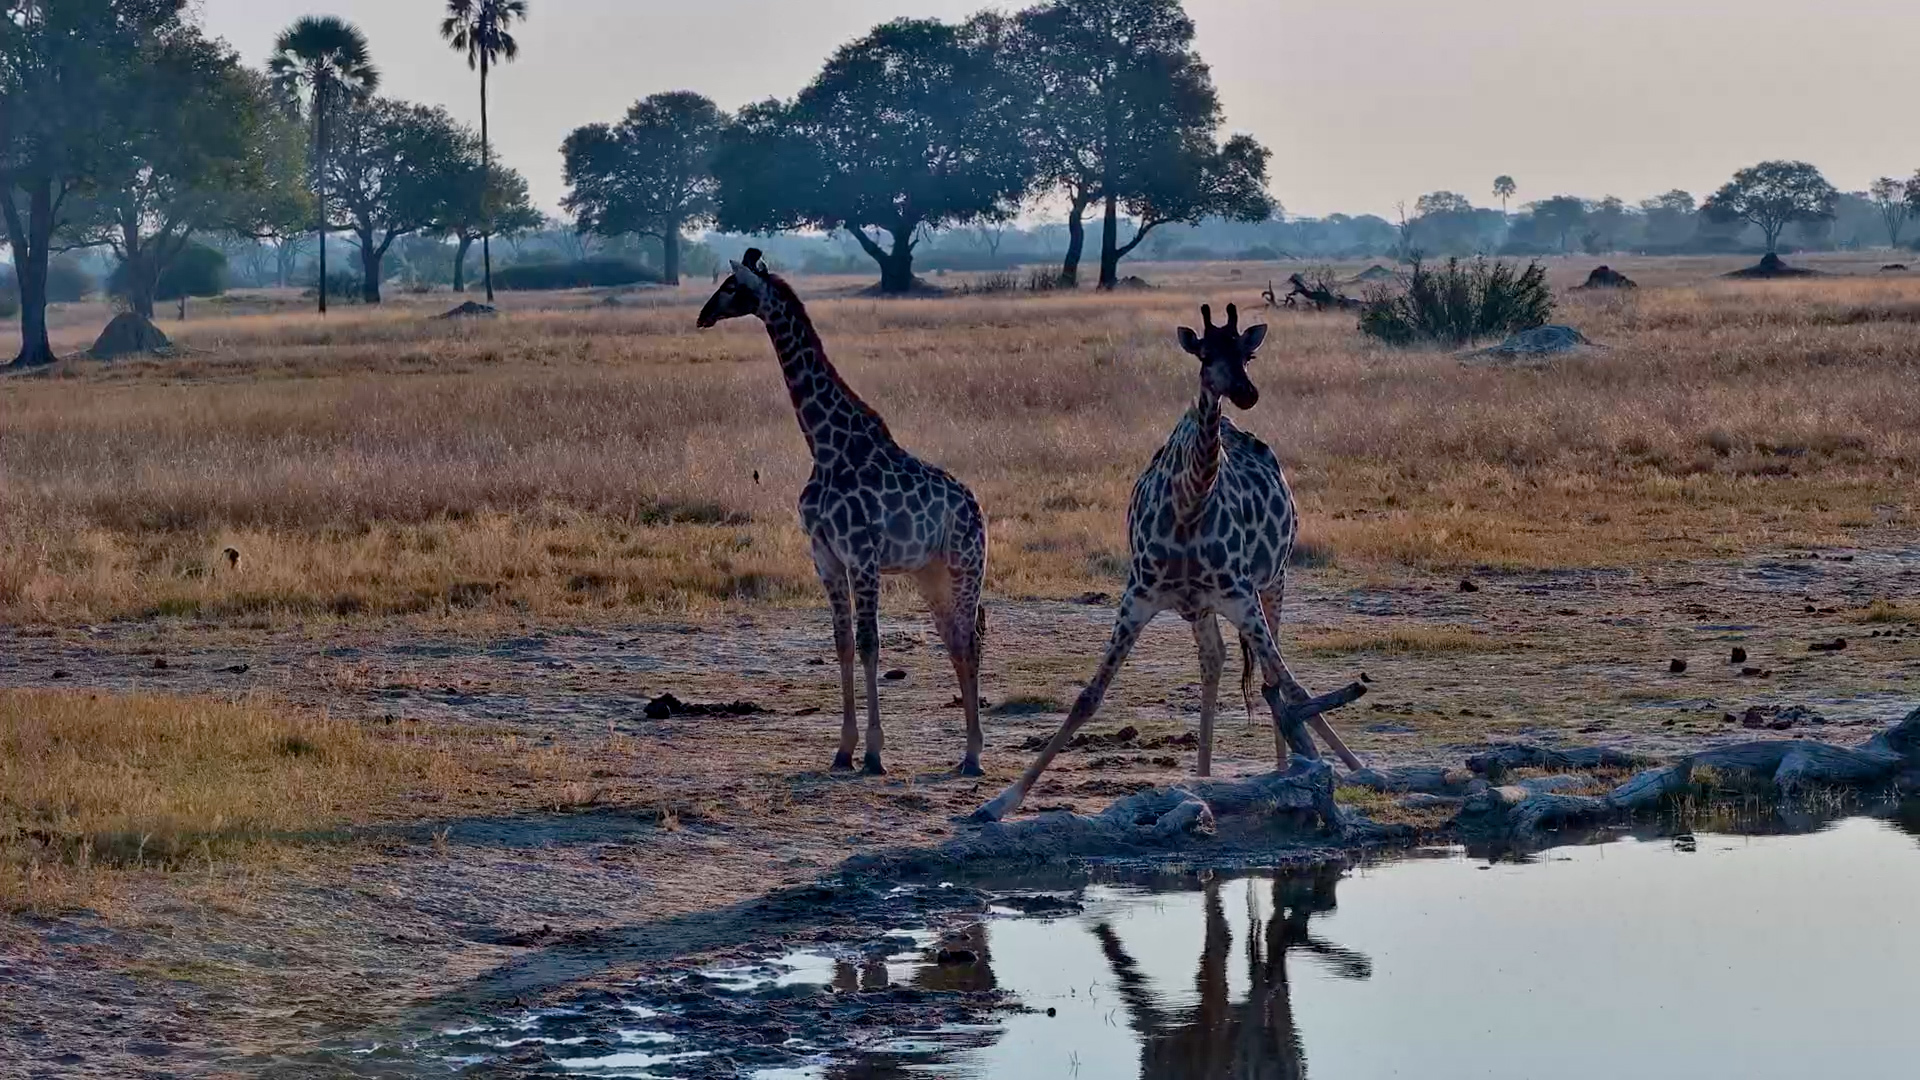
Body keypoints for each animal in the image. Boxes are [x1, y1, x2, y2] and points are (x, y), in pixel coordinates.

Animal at [696, 249, 988, 777]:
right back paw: (967, 753)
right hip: (930, 574)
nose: (702, 315)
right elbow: (843, 642)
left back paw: (975, 755)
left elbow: (871, 643)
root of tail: (977, 508)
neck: (827, 445)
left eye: (730, 286)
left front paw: (874, 752)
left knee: (969, 640)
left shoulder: (862, 556)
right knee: (956, 641)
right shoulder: (826, 556)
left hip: (966, 565)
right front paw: (844, 749)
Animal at [974, 302, 1363, 822]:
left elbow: (1293, 685)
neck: (1187, 508)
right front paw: (999, 802)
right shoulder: (1138, 596)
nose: (1246, 393)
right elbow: (1087, 697)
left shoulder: (1240, 595)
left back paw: (1285, 766)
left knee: (1270, 676)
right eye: (1204, 353)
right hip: (1201, 607)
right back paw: (1204, 777)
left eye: (1248, 354)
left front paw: (1358, 769)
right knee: (1215, 659)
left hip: (1272, 582)